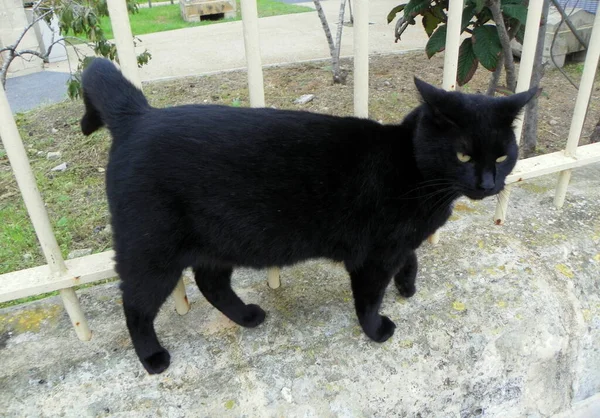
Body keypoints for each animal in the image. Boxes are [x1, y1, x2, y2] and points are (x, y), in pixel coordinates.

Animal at [81, 58, 540, 372]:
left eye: (502, 155)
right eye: (463, 154)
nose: (487, 182)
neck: (415, 172)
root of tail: (137, 117)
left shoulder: (396, 244)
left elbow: (411, 256)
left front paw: (407, 285)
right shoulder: (373, 256)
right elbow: (369, 299)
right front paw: (377, 330)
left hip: (221, 240)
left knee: (211, 282)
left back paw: (247, 316)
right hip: (152, 251)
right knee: (135, 305)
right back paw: (152, 357)